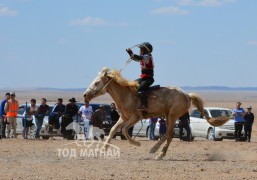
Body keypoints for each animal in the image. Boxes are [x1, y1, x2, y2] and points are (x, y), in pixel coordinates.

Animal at [83, 67, 227, 159]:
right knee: (169, 135)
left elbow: (124, 130)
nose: (85, 94)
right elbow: (113, 130)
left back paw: (155, 151)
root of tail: (187, 95)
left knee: (168, 134)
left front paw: (136, 143)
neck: (127, 95)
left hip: (172, 115)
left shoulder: (135, 117)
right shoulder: (124, 118)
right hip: (169, 116)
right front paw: (103, 150)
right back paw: (160, 153)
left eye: (96, 82)